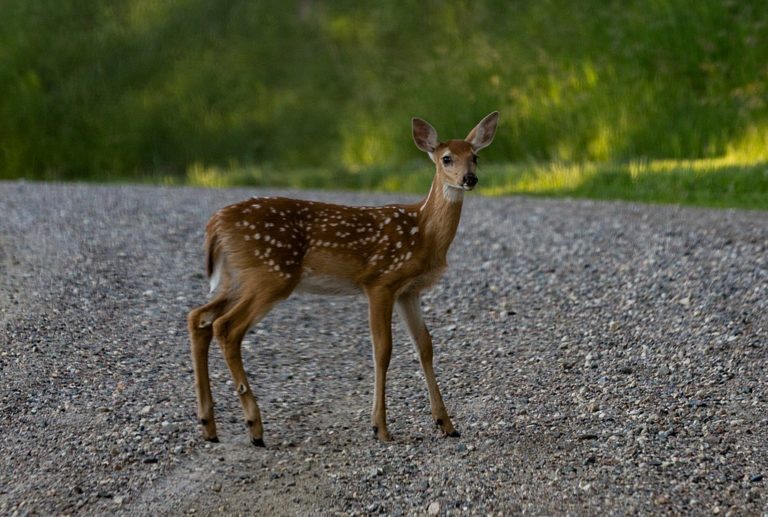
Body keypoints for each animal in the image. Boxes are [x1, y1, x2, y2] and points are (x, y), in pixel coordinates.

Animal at [186, 112, 498, 444]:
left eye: (475, 156)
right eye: (446, 158)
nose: (470, 179)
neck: (423, 232)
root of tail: (215, 223)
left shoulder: (409, 291)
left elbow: (425, 346)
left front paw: (446, 424)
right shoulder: (380, 281)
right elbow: (383, 350)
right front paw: (380, 428)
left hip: (237, 278)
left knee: (199, 318)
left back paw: (208, 426)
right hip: (271, 275)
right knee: (226, 327)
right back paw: (254, 426)